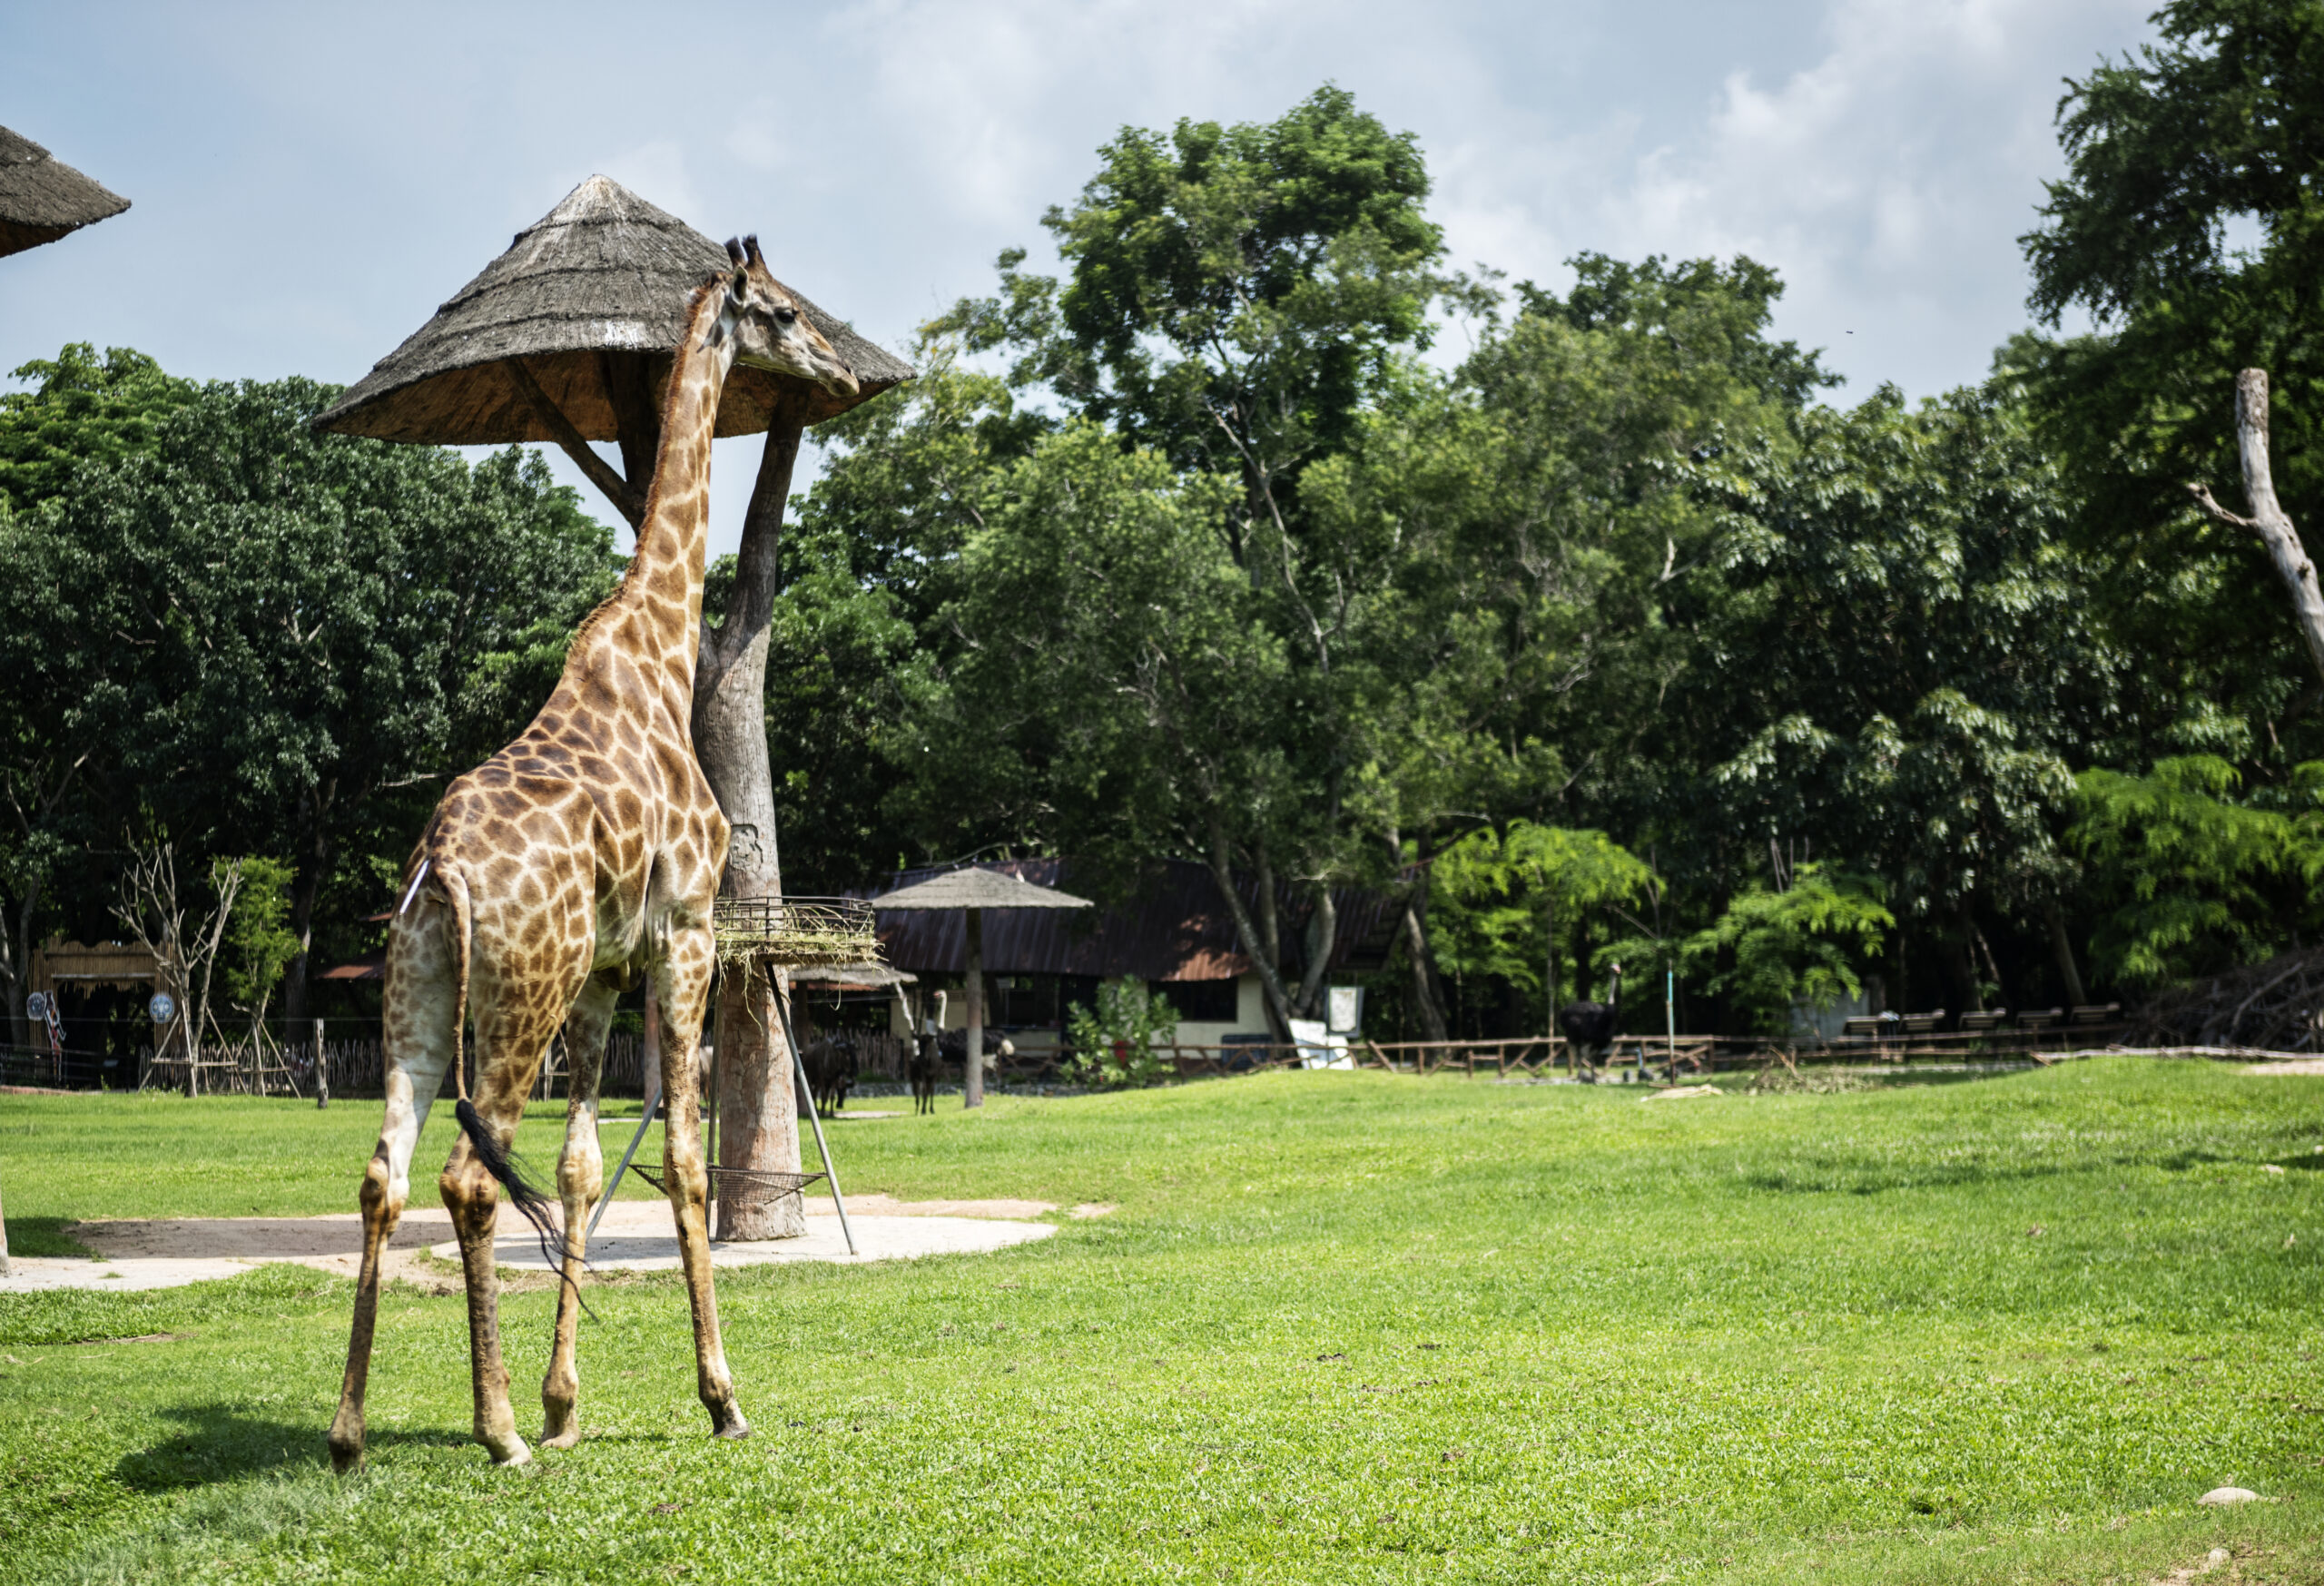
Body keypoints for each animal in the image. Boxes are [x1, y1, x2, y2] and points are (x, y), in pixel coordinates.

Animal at [330, 238, 864, 1469]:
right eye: (784, 313)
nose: (845, 372)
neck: (661, 648)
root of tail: (444, 863)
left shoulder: (603, 975)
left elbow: (579, 1166)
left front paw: (568, 1404)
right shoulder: (687, 936)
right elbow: (682, 1158)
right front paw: (719, 1397)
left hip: (422, 985)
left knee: (385, 1172)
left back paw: (348, 1432)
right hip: (516, 993)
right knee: (467, 1175)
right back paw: (495, 1435)